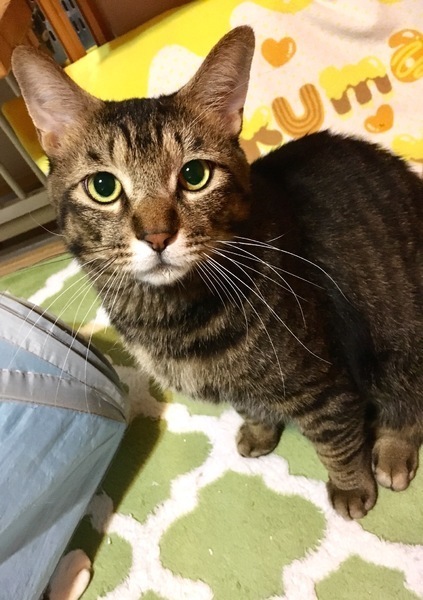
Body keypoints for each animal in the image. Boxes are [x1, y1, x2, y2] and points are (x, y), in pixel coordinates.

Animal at [12, 26, 423, 520]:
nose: (157, 235)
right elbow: (252, 407)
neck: (165, 317)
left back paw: (393, 453)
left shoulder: (324, 380)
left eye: (194, 175)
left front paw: (350, 487)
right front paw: (260, 432)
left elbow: (336, 438)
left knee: (408, 406)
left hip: (398, 338)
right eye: (103, 186)